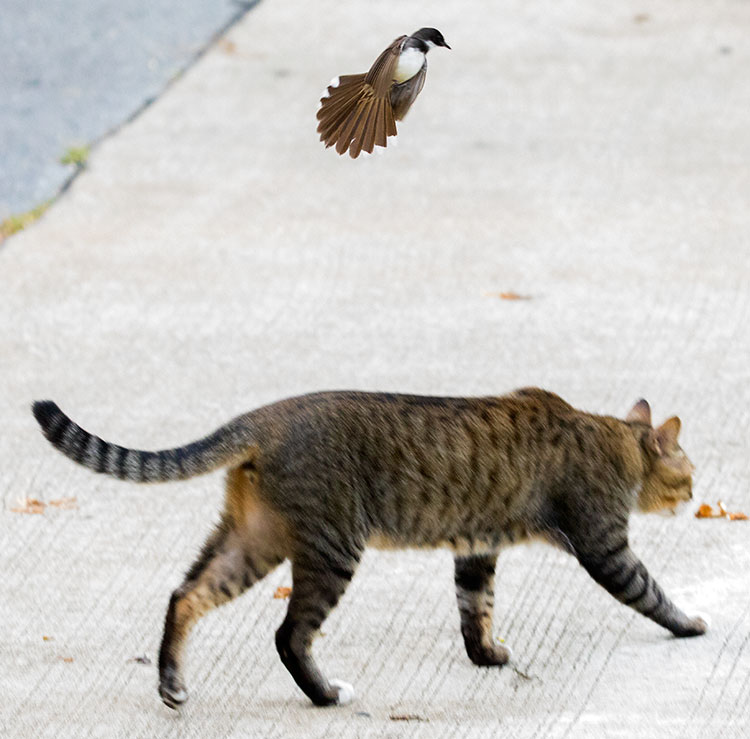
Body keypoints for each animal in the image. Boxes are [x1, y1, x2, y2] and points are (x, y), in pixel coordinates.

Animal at [30, 390, 712, 708]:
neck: (611, 438)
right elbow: (652, 592)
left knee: (184, 595)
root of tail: (266, 416)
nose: (696, 495)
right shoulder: (604, 545)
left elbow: (475, 608)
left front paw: (486, 654)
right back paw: (326, 695)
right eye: (689, 474)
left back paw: (172, 684)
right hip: (333, 548)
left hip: (252, 542)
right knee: (288, 635)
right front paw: (690, 624)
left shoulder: (477, 548)